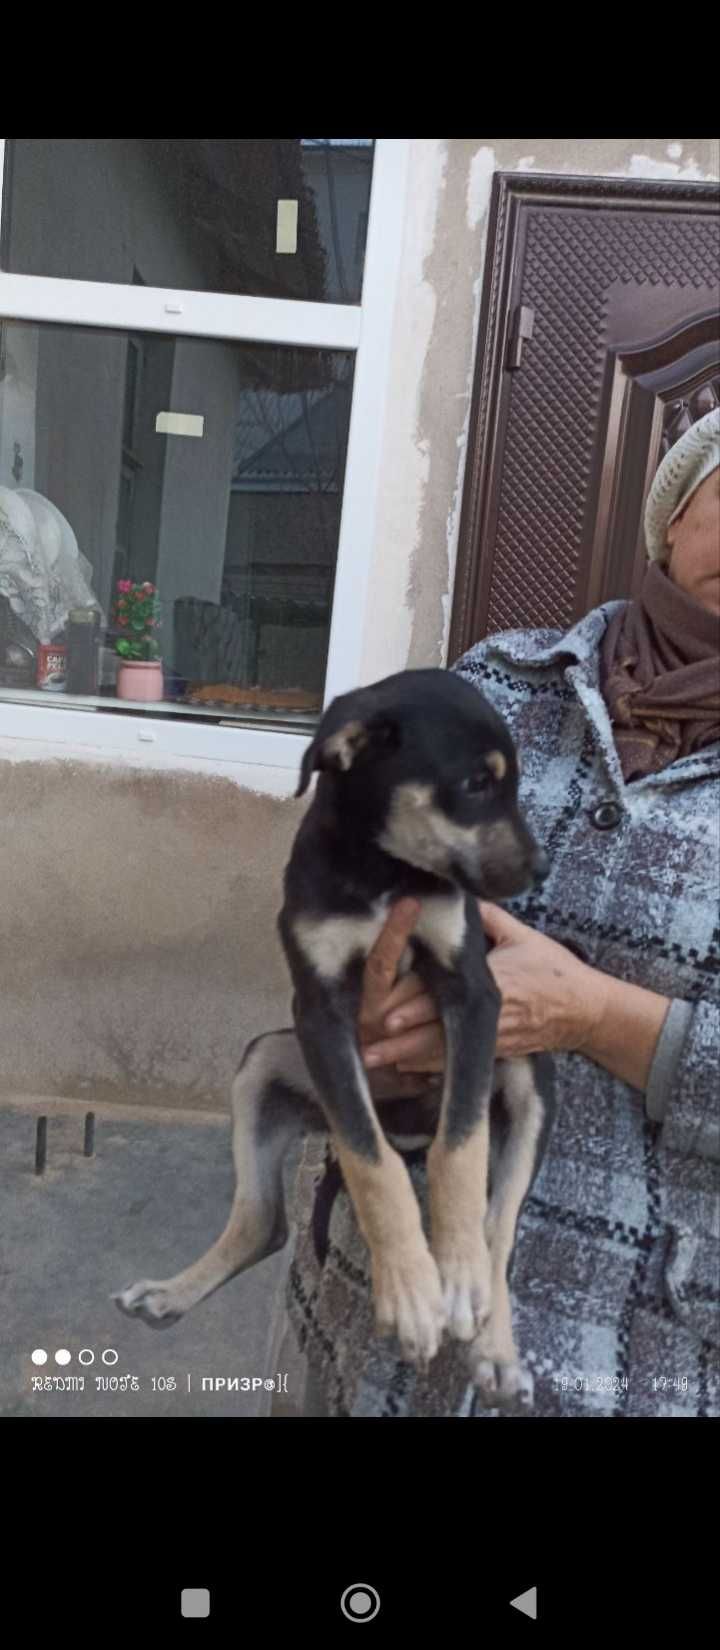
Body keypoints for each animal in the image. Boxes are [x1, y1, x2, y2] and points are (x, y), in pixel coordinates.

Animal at [115, 669, 554, 1405]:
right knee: (266, 1223)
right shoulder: (320, 1014)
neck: (383, 873)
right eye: (475, 783)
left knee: (500, 1228)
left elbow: (461, 1148)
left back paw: (492, 1342)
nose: (540, 868)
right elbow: (370, 1161)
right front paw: (411, 1292)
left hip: (526, 1073)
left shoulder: (476, 994)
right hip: (266, 1060)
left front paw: (451, 1274)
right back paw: (170, 1294)